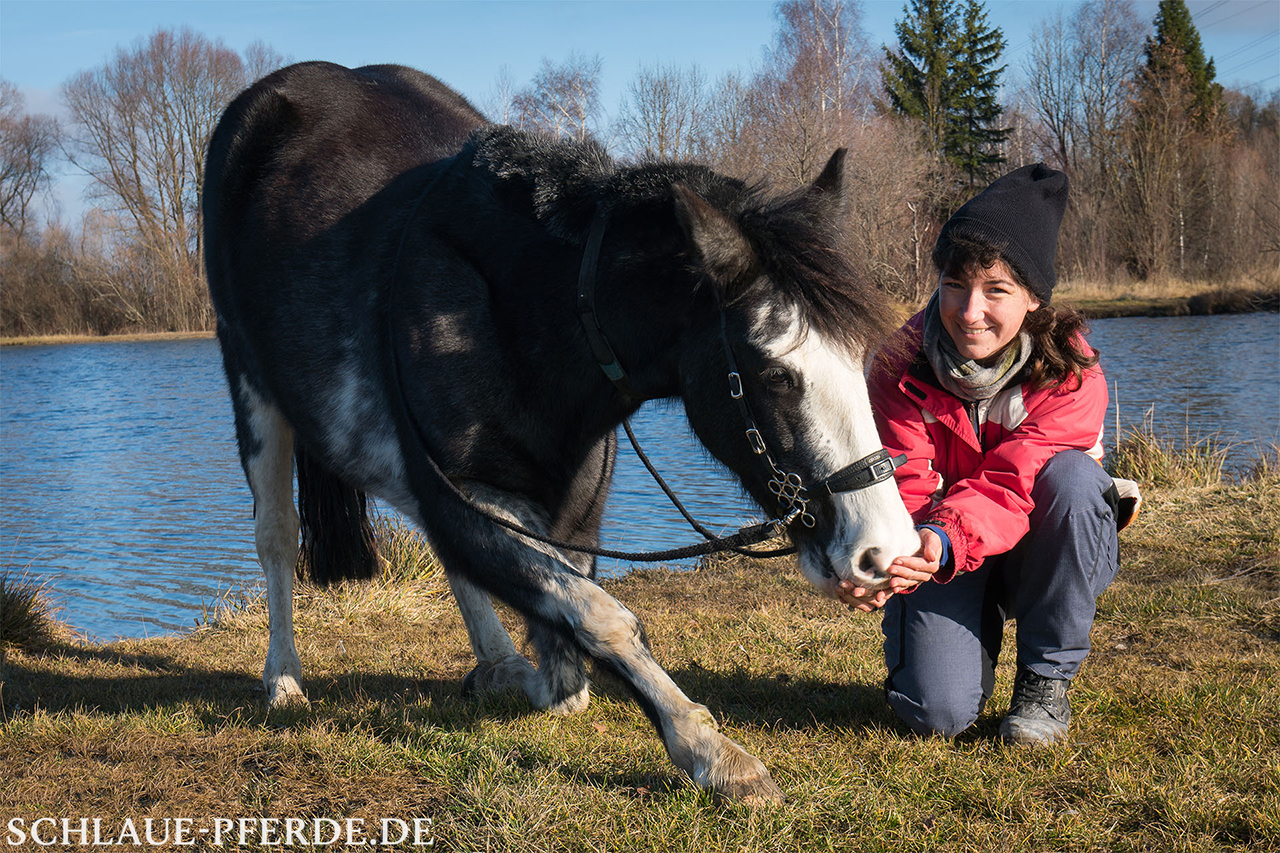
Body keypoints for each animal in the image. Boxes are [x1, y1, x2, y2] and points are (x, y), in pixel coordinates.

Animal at [202, 63, 921, 799]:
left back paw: (498, 664)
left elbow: (566, 626)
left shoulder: (568, 506)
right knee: (277, 536)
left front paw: (539, 677)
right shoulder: (465, 493)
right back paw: (284, 679)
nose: (884, 553)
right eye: (775, 374)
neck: (522, 314)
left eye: (860, 356)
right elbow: (598, 615)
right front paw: (714, 752)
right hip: (253, 389)